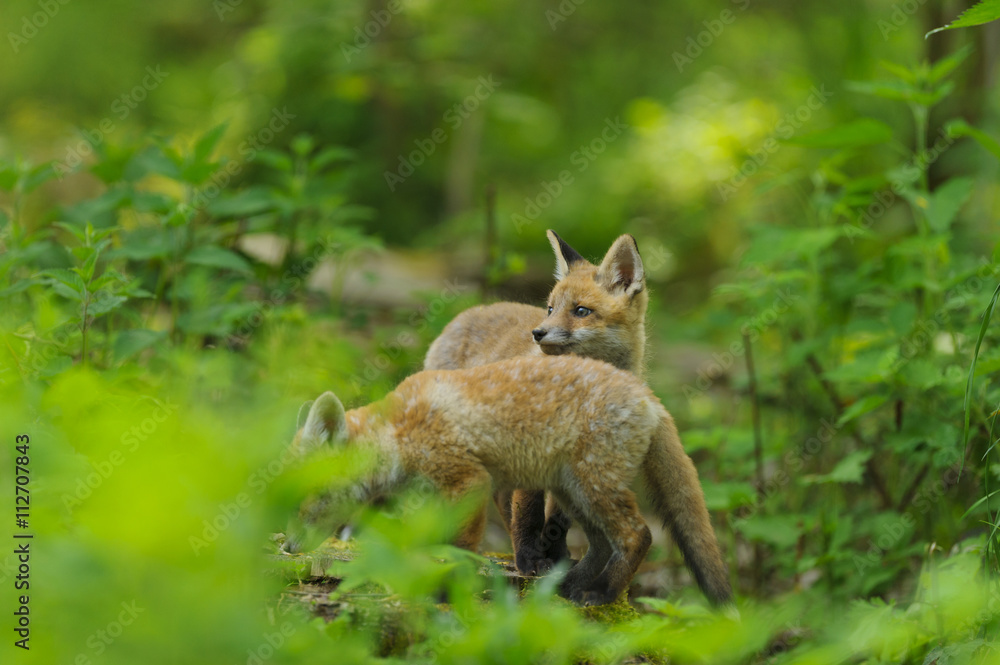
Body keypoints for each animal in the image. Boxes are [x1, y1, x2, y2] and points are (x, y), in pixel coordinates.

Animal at [292, 355, 732, 607]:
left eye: (307, 497)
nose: (289, 547)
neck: (399, 433)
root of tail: (647, 394)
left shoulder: (469, 481)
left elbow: (458, 549)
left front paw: (446, 592)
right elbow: (429, 545)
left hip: (593, 485)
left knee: (638, 535)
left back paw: (601, 594)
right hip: (573, 491)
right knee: (604, 544)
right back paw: (567, 585)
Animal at [424, 230, 648, 576]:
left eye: (581, 311)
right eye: (550, 308)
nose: (537, 333)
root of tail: (466, 314)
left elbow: (558, 516)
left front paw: (556, 558)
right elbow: (529, 511)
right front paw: (529, 560)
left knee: (502, 498)